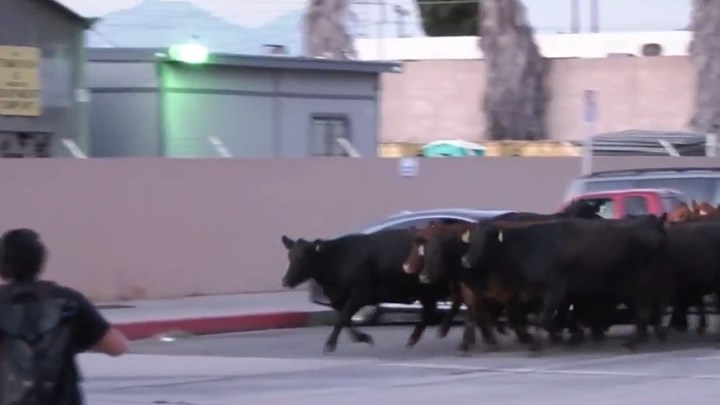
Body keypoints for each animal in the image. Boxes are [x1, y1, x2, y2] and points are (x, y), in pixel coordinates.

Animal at [280, 229, 452, 353]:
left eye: (304, 257)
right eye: (289, 256)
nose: (285, 281)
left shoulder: (360, 292)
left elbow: (343, 317)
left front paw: (330, 344)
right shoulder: (339, 299)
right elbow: (345, 319)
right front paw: (363, 337)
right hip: (424, 291)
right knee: (430, 310)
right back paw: (413, 339)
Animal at [459, 214, 671, 353]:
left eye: (487, 238)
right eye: (471, 238)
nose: (466, 260)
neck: (528, 246)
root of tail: (653, 223)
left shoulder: (556, 288)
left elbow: (545, 317)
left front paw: (539, 344)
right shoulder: (538, 292)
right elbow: (546, 317)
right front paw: (562, 337)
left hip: (642, 282)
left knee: (645, 309)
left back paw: (636, 341)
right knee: (649, 309)